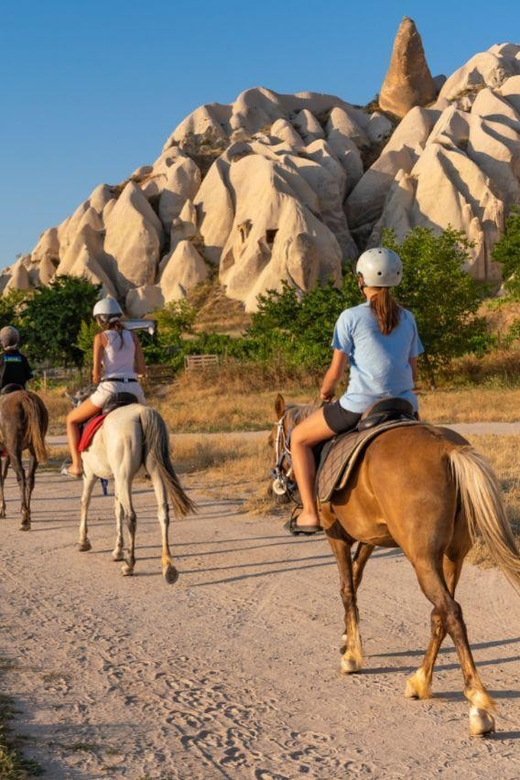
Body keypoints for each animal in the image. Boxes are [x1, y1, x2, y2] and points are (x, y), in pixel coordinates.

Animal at [0, 390, 48, 532]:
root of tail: (26, 398)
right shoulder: (6, 454)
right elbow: (2, 476)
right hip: (33, 448)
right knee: (30, 478)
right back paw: (28, 514)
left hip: (14, 448)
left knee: (21, 475)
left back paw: (24, 518)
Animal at [79, 406, 195, 580]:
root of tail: (142, 412)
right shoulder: (117, 480)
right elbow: (117, 510)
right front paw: (118, 550)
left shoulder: (90, 474)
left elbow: (86, 501)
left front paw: (83, 541)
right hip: (154, 473)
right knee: (163, 513)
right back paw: (168, 567)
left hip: (124, 477)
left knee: (131, 517)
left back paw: (130, 565)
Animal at [272, 396, 520, 736]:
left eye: (273, 439)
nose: (277, 481)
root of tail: (447, 450)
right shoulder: (370, 538)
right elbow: (357, 578)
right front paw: (348, 638)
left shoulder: (337, 536)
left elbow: (347, 588)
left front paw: (351, 656)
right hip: (452, 556)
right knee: (440, 614)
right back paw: (420, 681)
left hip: (423, 559)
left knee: (451, 612)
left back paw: (477, 705)